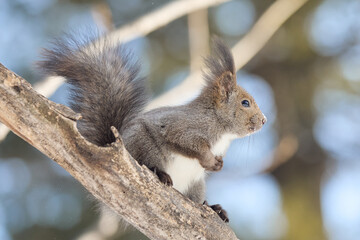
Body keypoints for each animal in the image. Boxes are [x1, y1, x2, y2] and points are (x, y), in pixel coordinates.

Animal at [38, 34, 266, 223]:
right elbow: (188, 142)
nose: (264, 120)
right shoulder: (185, 127)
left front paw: (218, 166)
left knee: (197, 201)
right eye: (245, 103)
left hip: (195, 184)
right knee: (146, 162)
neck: (223, 130)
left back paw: (213, 208)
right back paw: (160, 174)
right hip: (142, 144)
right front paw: (210, 161)